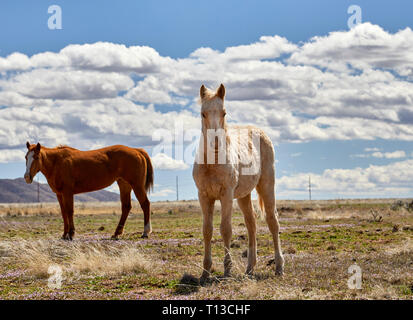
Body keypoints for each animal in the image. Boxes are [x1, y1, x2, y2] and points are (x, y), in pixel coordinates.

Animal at [23, 143, 153, 240]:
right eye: (26, 157)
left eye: (36, 157)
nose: (27, 177)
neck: (57, 162)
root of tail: (137, 150)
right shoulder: (59, 194)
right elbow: (64, 213)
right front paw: (64, 234)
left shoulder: (67, 192)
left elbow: (69, 211)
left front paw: (71, 234)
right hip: (124, 184)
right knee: (126, 207)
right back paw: (116, 234)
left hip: (137, 185)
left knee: (145, 204)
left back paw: (145, 232)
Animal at [192, 83, 284, 280]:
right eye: (203, 113)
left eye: (224, 112)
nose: (215, 143)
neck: (212, 163)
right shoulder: (204, 196)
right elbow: (207, 230)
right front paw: (205, 272)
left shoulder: (226, 195)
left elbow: (225, 229)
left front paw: (227, 269)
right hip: (244, 195)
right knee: (252, 223)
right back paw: (250, 268)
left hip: (266, 186)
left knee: (272, 221)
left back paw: (279, 267)